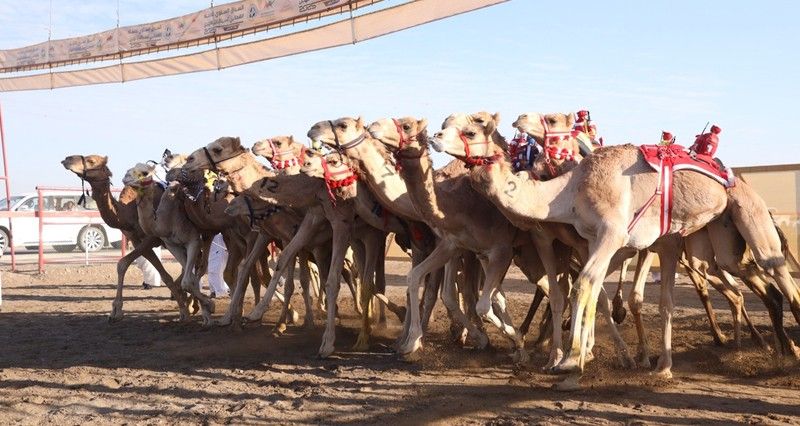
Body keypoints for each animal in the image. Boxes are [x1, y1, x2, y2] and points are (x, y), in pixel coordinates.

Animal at [61, 155, 185, 322]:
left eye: (92, 161)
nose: (67, 159)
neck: (128, 212)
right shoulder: (137, 240)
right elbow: (160, 274)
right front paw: (115, 311)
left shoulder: (152, 238)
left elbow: (123, 263)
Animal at [434, 113, 800, 386]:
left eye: (470, 128)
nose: (435, 136)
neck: (570, 190)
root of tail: (733, 175)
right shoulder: (594, 239)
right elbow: (590, 289)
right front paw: (576, 356)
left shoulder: (611, 233)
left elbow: (583, 284)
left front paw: (573, 359)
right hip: (710, 243)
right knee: (730, 278)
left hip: (747, 211)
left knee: (774, 264)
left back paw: (786, 350)